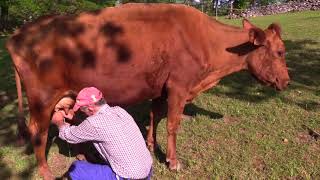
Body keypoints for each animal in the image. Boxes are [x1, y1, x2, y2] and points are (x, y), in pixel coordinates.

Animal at [5, 3, 290, 180]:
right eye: (279, 52)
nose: (287, 81)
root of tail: (19, 33)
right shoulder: (179, 86)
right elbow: (173, 124)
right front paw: (173, 161)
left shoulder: (161, 88)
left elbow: (155, 116)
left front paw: (151, 145)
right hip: (41, 100)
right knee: (39, 132)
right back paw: (46, 172)